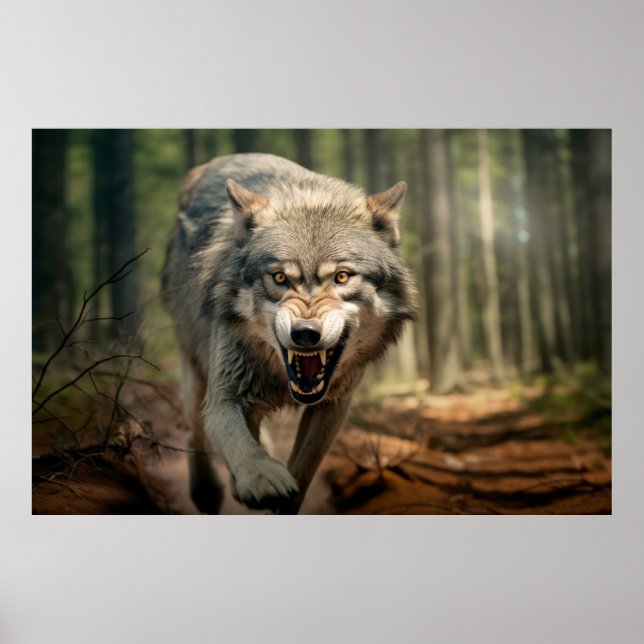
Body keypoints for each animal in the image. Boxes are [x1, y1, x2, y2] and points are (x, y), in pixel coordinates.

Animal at [162, 152, 417, 514]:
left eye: (342, 277)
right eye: (280, 278)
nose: (305, 333)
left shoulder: (333, 405)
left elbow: (302, 471)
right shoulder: (226, 396)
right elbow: (243, 446)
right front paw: (261, 477)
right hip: (195, 374)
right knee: (194, 431)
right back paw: (208, 491)